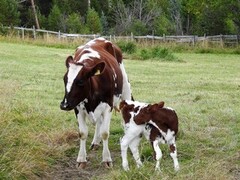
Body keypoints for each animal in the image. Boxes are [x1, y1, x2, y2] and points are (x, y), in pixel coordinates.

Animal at [59, 37, 131, 169]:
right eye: (65, 79)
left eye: (80, 81)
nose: (64, 105)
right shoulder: (77, 107)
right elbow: (82, 133)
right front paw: (81, 159)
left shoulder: (108, 106)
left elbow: (105, 133)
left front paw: (107, 159)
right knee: (99, 122)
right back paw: (96, 142)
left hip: (126, 89)